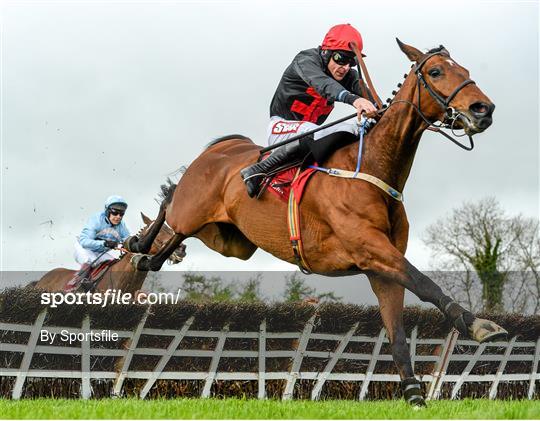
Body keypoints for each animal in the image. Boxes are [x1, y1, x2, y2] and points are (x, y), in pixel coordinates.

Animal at [122, 39, 506, 404]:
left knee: (176, 229)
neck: (372, 167)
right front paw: (478, 324)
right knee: (169, 201)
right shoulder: (370, 248)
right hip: (194, 210)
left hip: (228, 240)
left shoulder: (382, 267)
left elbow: (397, 328)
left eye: (465, 69)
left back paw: (149, 257)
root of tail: (222, 149)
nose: (483, 109)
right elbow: (426, 284)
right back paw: (139, 244)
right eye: (437, 71)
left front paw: (413, 393)